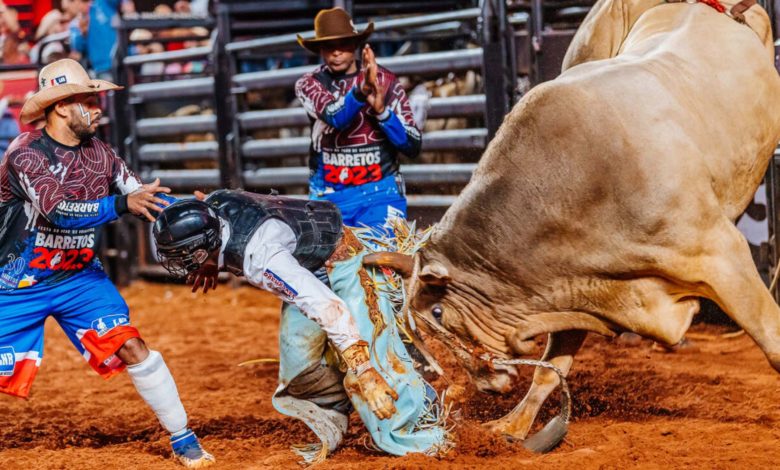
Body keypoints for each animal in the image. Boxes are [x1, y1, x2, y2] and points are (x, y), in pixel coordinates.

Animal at [366, 0, 780, 452]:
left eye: (439, 312)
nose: (487, 386)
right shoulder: (575, 286)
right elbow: (550, 368)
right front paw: (510, 427)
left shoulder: (723, 254)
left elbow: (771, 338)